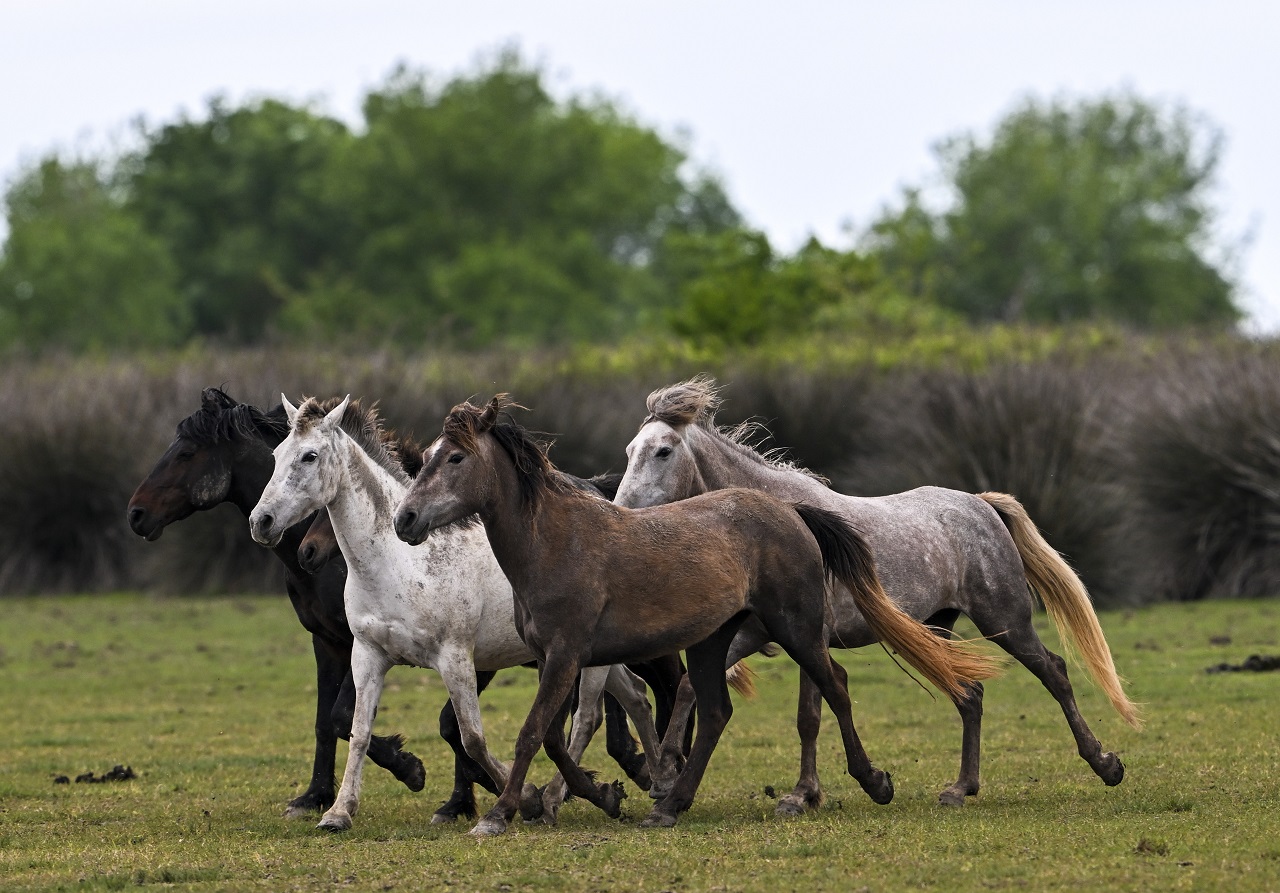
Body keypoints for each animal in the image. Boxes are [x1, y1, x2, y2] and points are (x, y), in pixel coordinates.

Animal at [389, 394, 998, 829]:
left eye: (456, 457)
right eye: (428, 457)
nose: (405, 519)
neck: (555, 542)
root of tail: (792, 512)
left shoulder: (565, 656)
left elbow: (533, 731)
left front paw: (499, 815)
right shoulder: (550, 659)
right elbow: (555, 738)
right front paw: (595, 795)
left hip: (797, 629)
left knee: (835, 688)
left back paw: (873, 783)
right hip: (713, 642)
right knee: (717, 712)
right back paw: (669, 805)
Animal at [609, 373, 1141, 808]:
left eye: (663, 451)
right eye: (629, 451)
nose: (622, 514)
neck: (781, 520)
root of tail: (982, 505)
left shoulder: (810, 637)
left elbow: (808, 715)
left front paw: (802, 796)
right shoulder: (756, 634)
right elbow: (687, 687)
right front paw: (666, 774)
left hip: (1005, 621)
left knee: (1054, 673)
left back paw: (1105, 764)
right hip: (937, 629)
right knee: (970, 694)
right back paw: (960, 789)